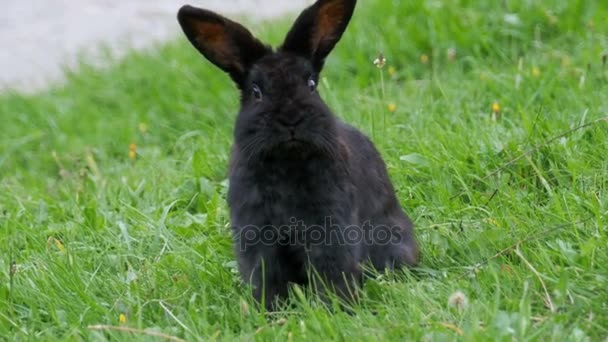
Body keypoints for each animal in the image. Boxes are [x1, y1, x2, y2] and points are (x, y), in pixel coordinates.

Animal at [178, 0, 420, 310]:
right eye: (256, 92)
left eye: (311, 85)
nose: (291, 119)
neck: (286, 162)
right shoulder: (257, 234)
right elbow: (267, 275)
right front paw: (270, 311)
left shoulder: (329, 227)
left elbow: (331, 268)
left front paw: (335, 308)